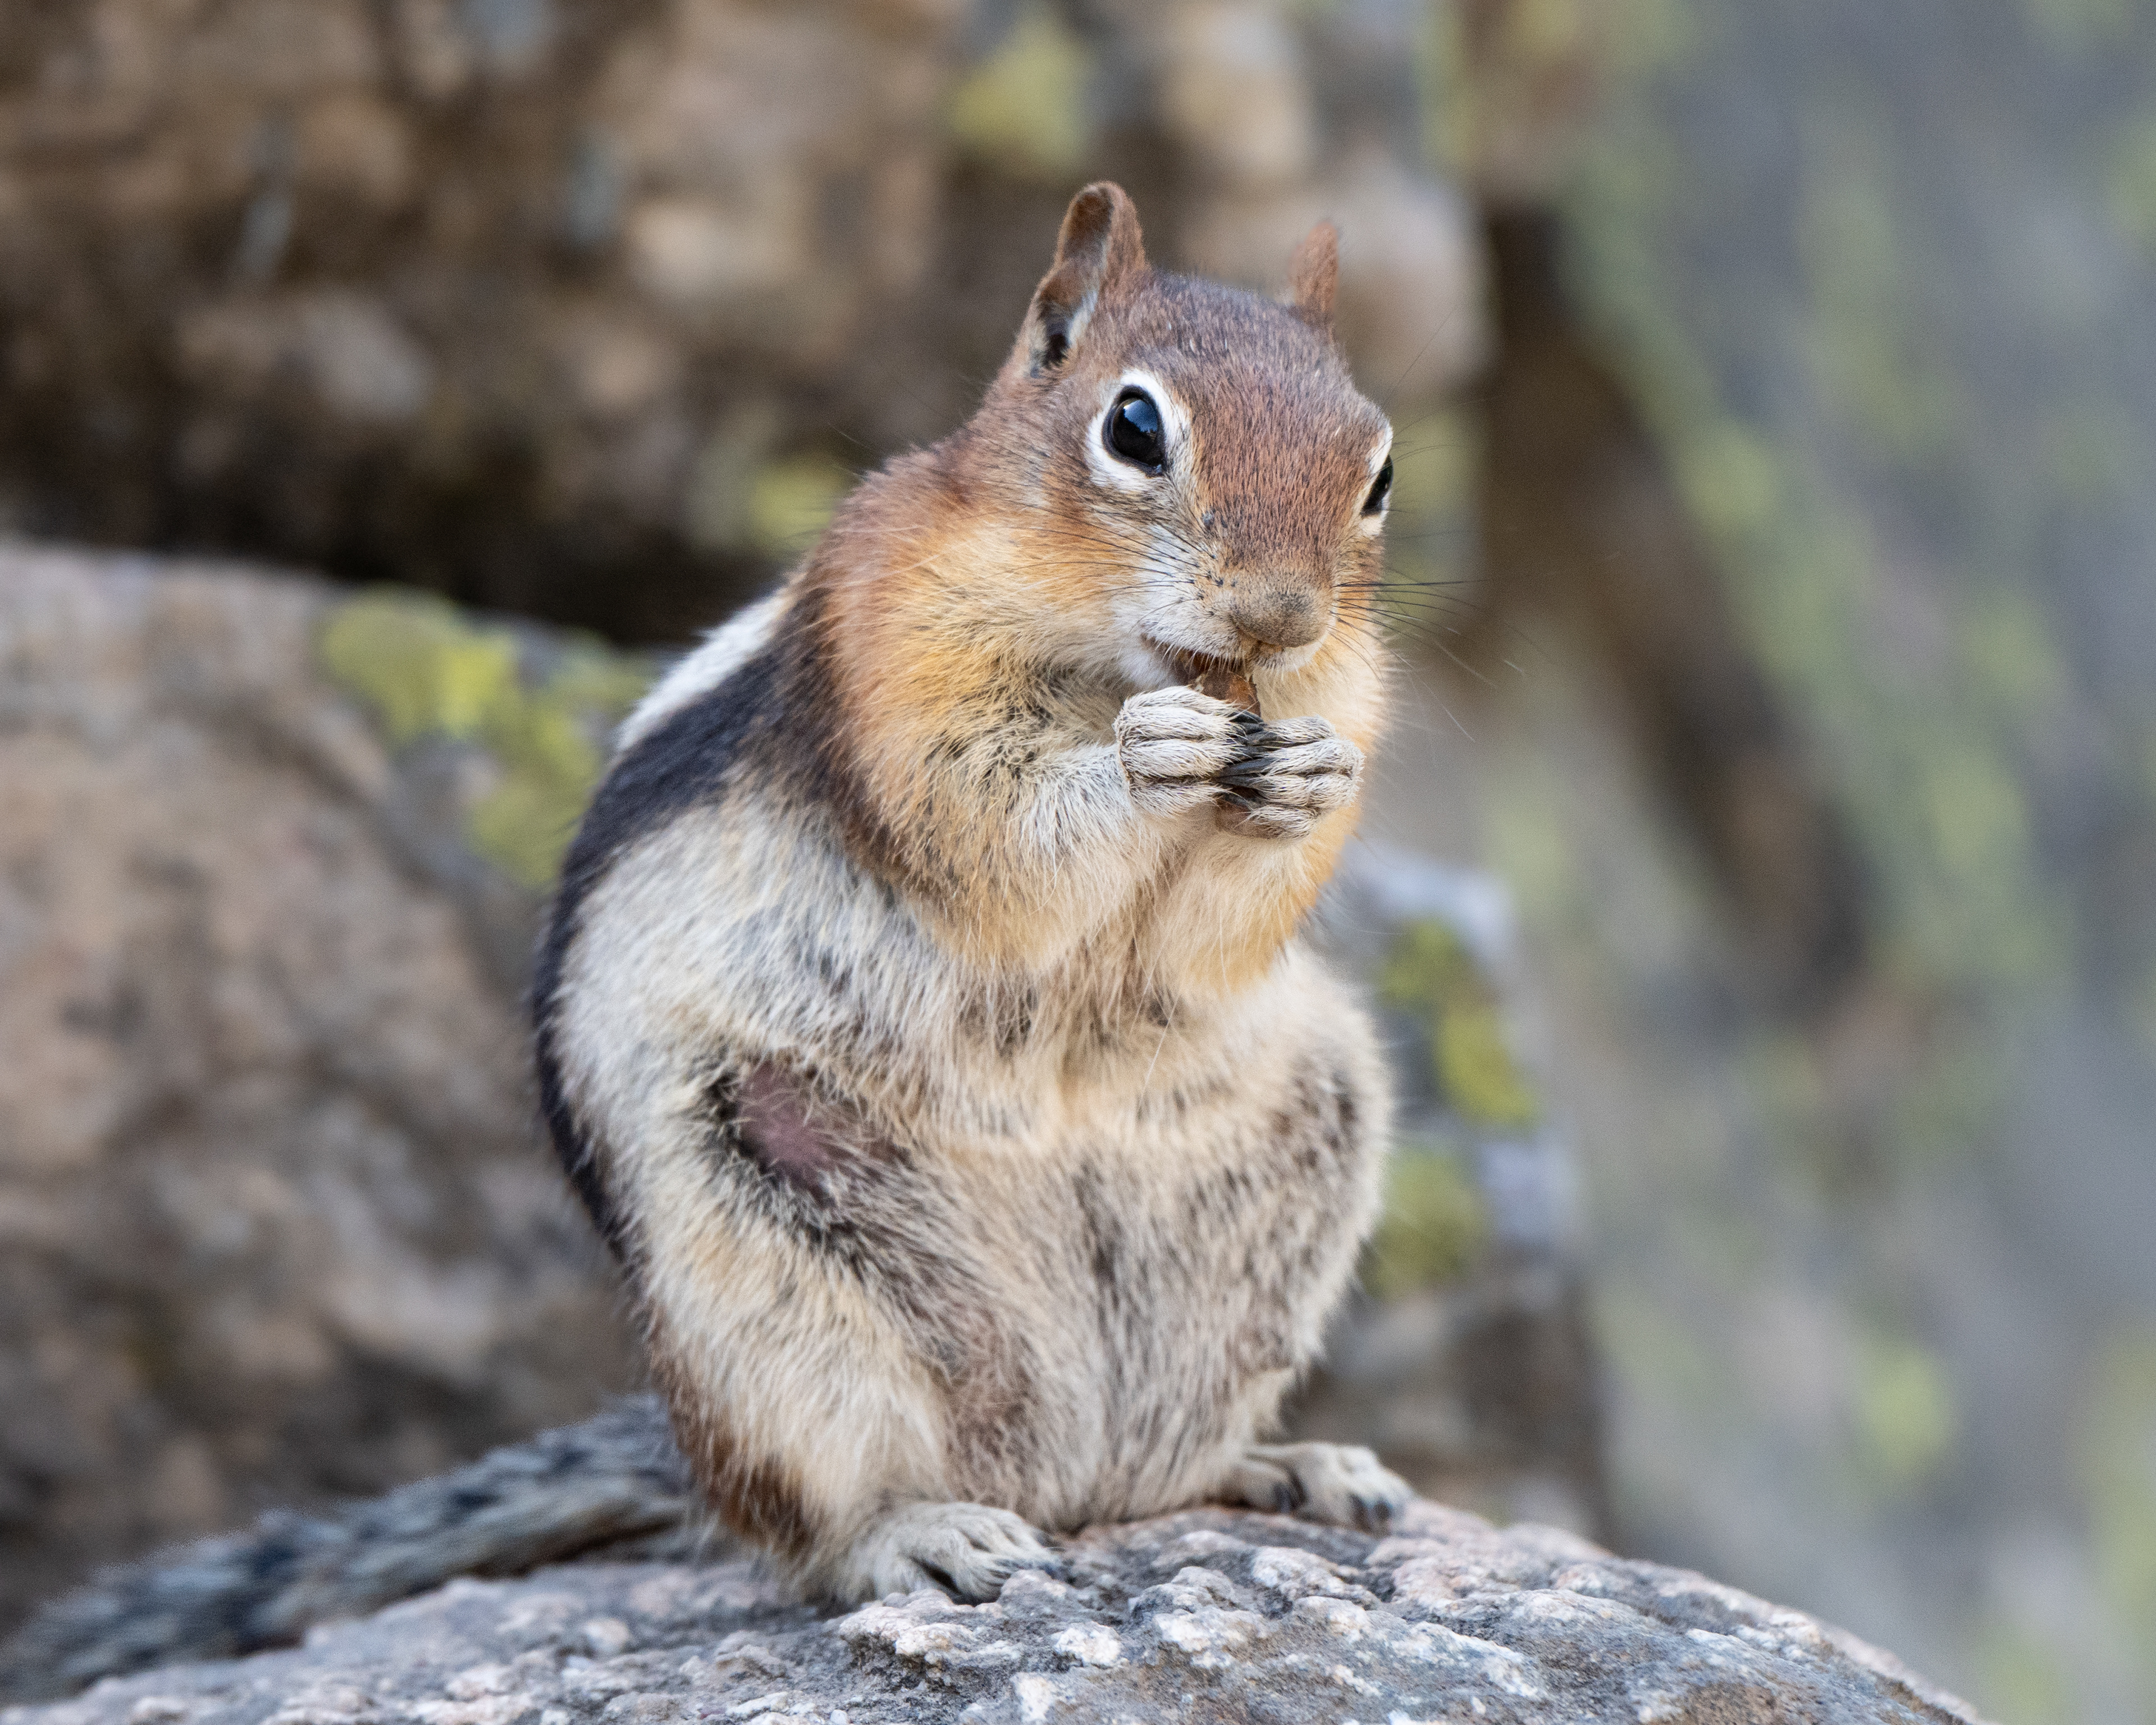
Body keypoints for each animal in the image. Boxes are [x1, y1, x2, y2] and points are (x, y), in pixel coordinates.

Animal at [1, 182, 1409, 1697]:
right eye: (1134, 426)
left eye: (1378, 471)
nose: (1279, 613)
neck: (1124, 659)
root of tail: (1048, 1468)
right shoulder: (890, 643)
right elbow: (990, 827)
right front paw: (1144, 761)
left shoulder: (1333, 703)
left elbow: (1220, 923)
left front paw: (1305, 777)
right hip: (753, 1268)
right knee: (812, 1524)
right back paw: (917, 1532)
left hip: (1296, 1155)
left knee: (1157, 1467)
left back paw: (1285, 1466)